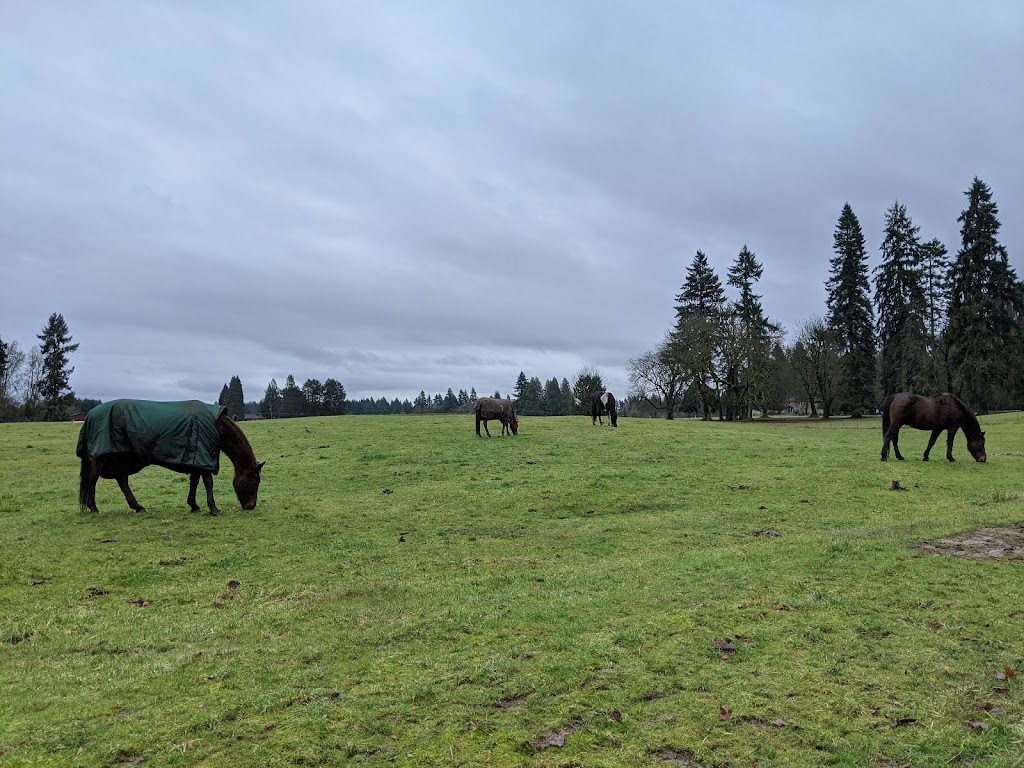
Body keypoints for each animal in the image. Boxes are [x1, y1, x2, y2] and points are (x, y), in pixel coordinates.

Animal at [78, 403, 266, 518]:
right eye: (256, 480)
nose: (251, 505)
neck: (217, 425)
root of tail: (90, 415)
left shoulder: (196, 458)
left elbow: (194, 482)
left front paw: (194, 505)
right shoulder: (204, 457)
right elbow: (208, 483)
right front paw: (213, 508)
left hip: (122, 458)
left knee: (122, 480)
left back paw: (138, 507)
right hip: (101, 458)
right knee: (92, 480)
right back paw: (94, 508)